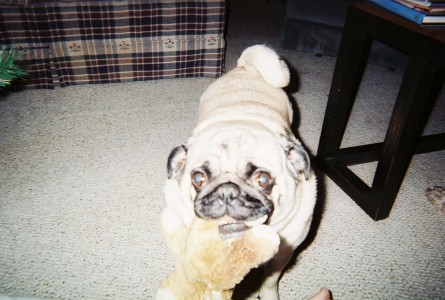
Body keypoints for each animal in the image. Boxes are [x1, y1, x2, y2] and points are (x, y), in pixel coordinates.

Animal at [160, 45, 322, 300]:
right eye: (198, 178)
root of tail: (246, 67)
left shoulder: (283, 254)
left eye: (263, 179)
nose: (227, 191)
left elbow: (269, 280)